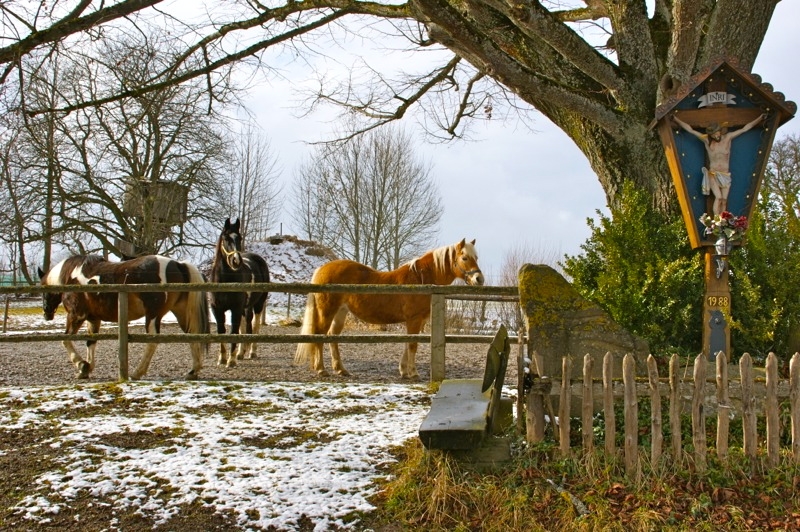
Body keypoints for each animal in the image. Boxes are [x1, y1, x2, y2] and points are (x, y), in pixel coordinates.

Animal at [37, 254, 209, 378]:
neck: (71, 276)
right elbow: (90, 342)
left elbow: (65, 339)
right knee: (192, 335)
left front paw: (81, 365)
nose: (46, 313)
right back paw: (193, 371)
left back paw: (137, 372)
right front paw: (86, 369)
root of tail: (178, 264)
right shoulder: (93, 319)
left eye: (43, 289)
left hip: (153, 315)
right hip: (180, 312)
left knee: (153, 341)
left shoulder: (76, 315)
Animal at [292, 239, 482, 380]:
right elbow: (412, 345)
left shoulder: (415, 321)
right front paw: (413, 373)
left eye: (476, 257)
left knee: (332, 337)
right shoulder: (414, 319)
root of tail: (321, 269)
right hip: (327, 311)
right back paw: (321, 369)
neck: (420, 279)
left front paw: (404, 371)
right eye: (465, 258)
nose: (479, 279)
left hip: (341, 312)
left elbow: (408, 343)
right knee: (319, 335)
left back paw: (341, 369)